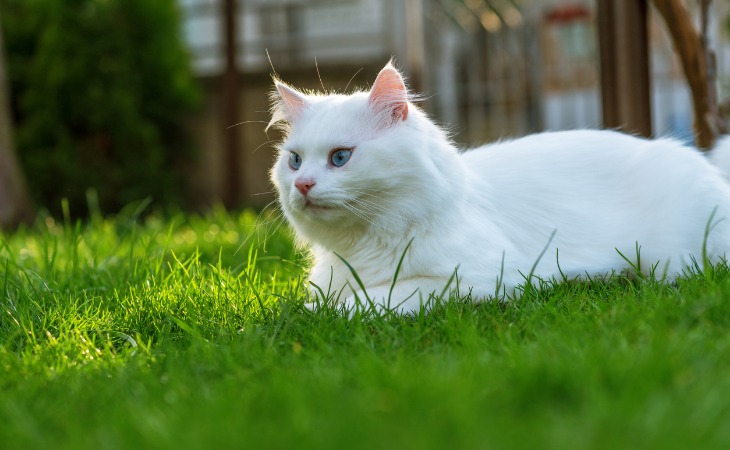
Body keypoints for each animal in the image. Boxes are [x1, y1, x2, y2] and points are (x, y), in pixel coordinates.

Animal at [268, 60, 728, 312]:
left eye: (340, 157)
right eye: (295, 161)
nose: (303, 185)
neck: (361, 246)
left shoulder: (475, 278)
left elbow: (373, 299)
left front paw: (327, 313)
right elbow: (323, 299)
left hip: (670, 260)